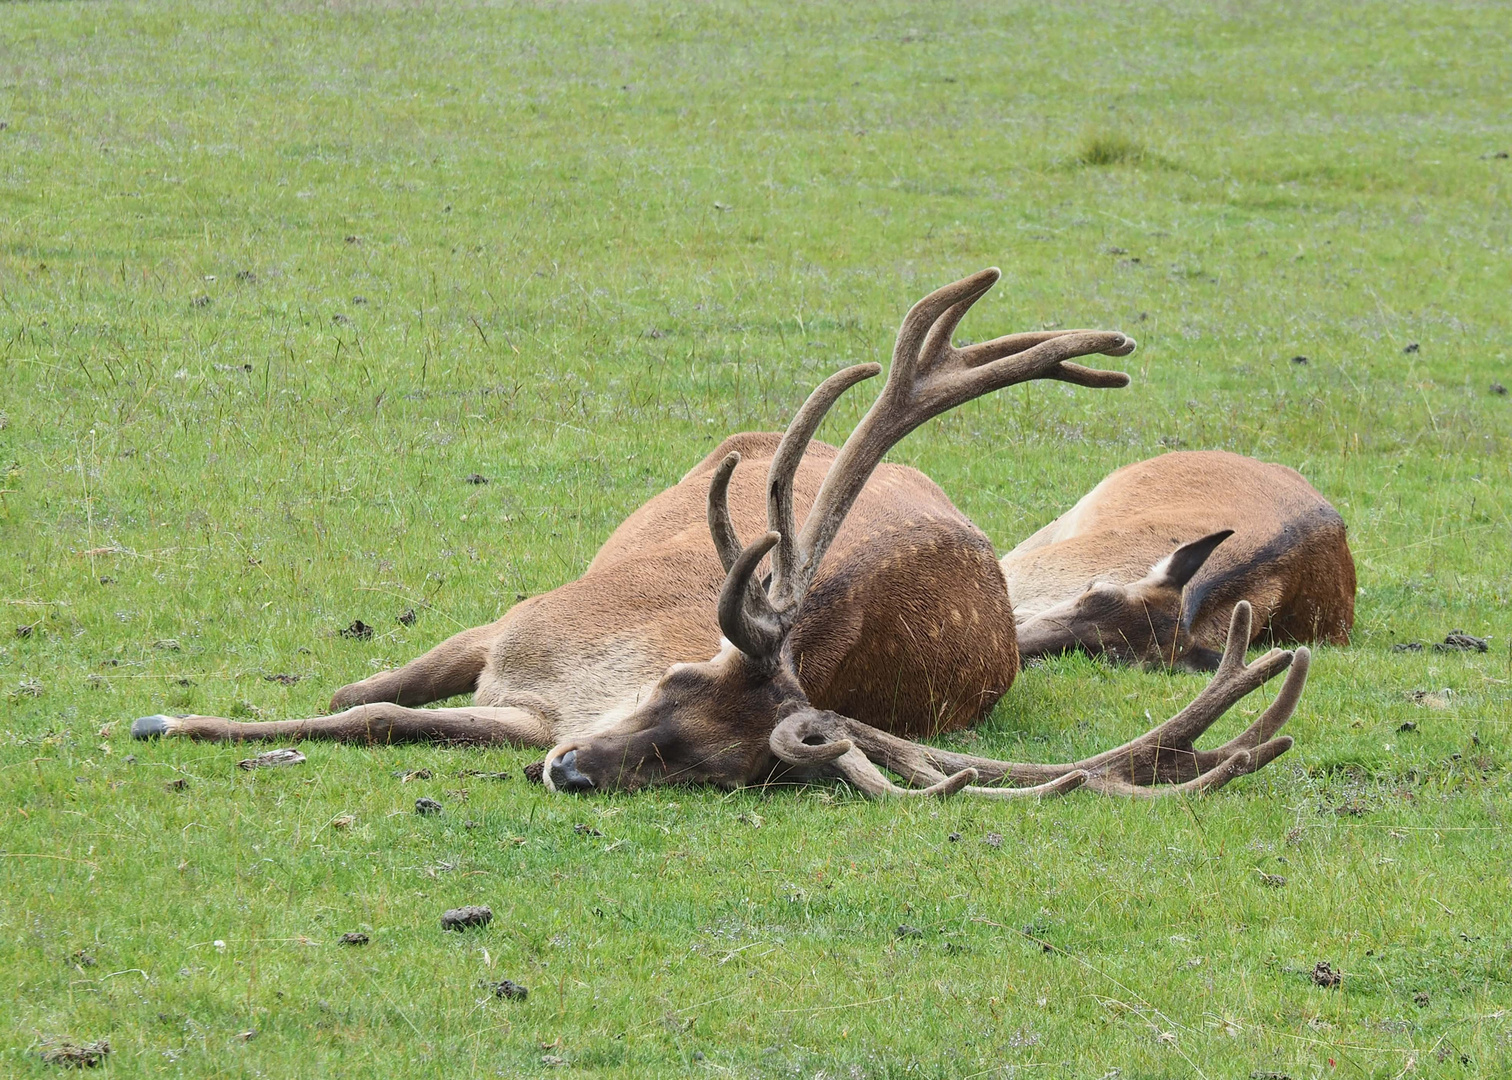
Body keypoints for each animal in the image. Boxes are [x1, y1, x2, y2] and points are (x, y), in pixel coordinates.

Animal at [133, 267, 1312, 792]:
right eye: (677, 683)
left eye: (723, 768)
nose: (574, 770)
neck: (581, 688)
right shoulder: (512, 626)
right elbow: (361, 698)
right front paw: (169, 720)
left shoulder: (523, 711)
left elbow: (385, 721)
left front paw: (187, 725)